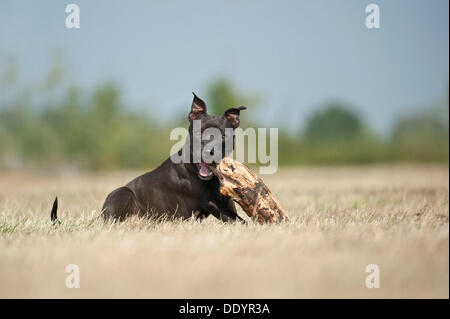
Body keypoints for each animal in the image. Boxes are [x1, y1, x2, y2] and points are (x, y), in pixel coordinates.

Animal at [51, 92, 246, 224]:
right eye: (198, 133)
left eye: (223, 136)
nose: (209, 152)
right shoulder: (216, 207)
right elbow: (242, 222)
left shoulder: (226, 205)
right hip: (123, 193)